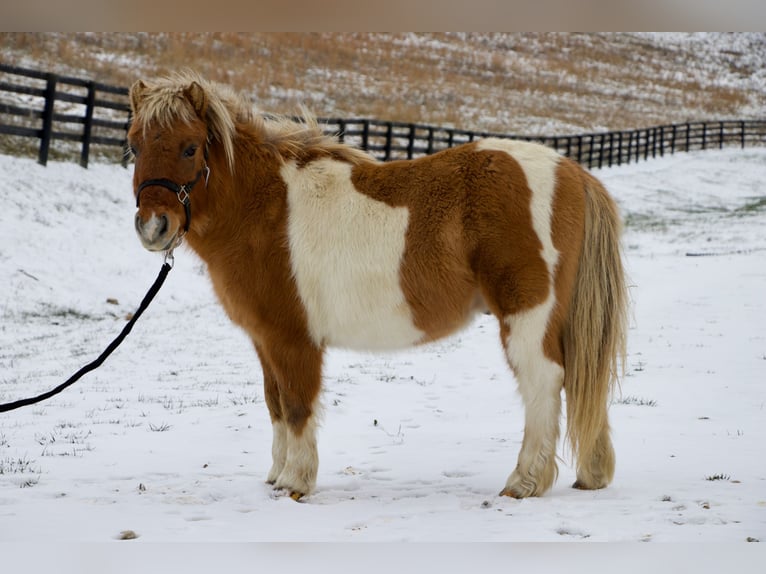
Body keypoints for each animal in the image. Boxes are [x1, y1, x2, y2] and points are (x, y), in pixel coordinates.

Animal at [128, 71, 628, 501]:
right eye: (134, 146)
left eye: (190, 148)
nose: (154, 227)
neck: (265, 209)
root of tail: (573, 172)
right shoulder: (265, 341)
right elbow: (275, 404)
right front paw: (276, 474)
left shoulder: (294, 341)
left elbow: (296, 406)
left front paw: (295, 481)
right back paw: (591, 474)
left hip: (527, 315)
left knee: (544, 382)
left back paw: (524, 482)